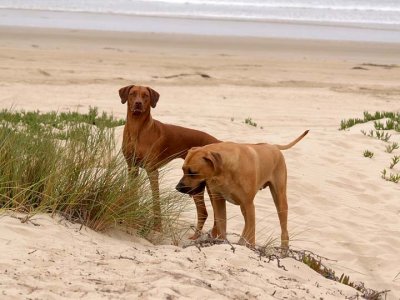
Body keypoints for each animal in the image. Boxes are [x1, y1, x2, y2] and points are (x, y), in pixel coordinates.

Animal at [119, 84, 220, 234]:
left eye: (145, 95)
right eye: (133, 94)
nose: (138, 103)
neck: (137, 128)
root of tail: (218, 142)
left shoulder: (152, 171)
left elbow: (156, 199)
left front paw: (157, 227)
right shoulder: (132, 167)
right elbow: (133, 193)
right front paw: (130, 218)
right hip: (196, 184)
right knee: (203, 212)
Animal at [175, 130, 310, 247]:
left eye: (193, 173)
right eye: (183, 169)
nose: (178, 188)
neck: (225, 172)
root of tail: (274, 147)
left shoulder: (249, 204)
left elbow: (251, 234)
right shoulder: (218, 200)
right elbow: (222, 226)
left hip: (279, 200)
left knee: (282, 231)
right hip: (243, 206)